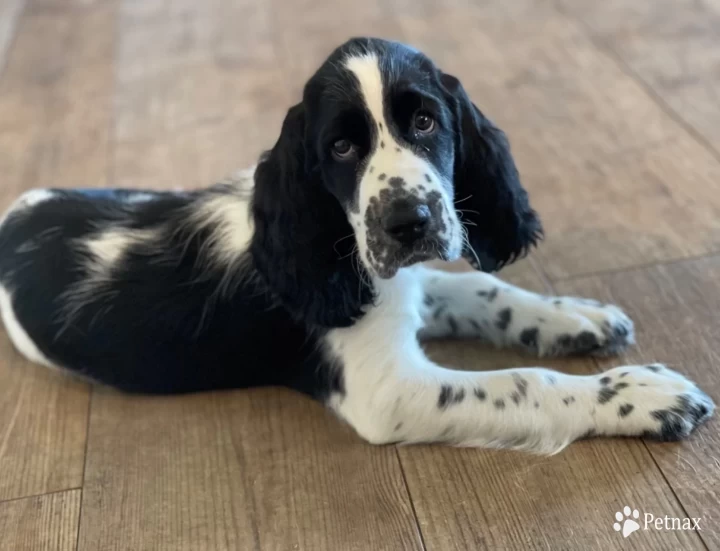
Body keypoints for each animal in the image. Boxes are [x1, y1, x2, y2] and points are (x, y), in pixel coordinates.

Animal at [0, 37, 712, 452]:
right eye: (341, 147)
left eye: (425, 120)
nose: (410, 221)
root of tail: (13, 215)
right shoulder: (386, 391)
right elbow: (521, 383)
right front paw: (644, 397)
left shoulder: (404, 283)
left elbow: (484, 288)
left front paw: (576, 316)